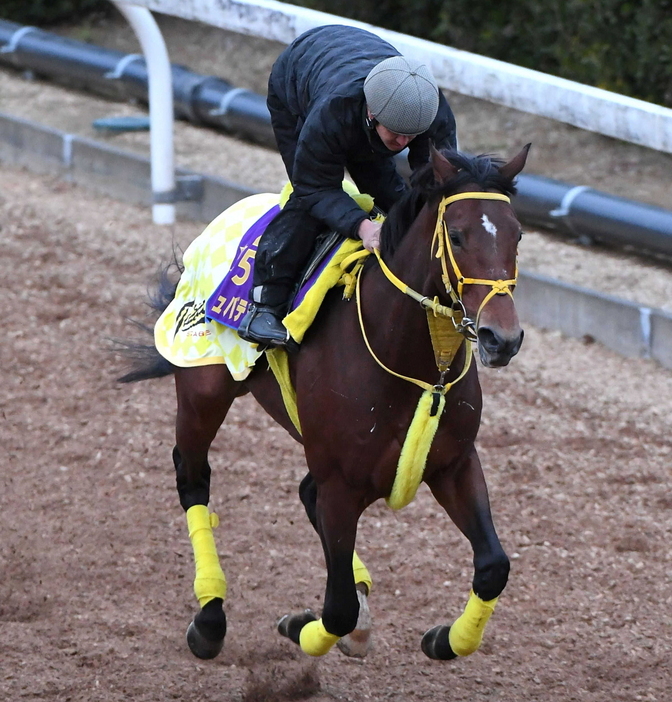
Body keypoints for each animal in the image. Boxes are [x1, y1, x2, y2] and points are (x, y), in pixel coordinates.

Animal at [119, 144, 532, 664]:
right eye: (456, 236)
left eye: (517, 234)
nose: (503, 338)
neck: (414, 361)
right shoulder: (341, 484)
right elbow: (337, 609)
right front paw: (302, 626)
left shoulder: (453, 464)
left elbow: (493, 565)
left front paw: (443, 638)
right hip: (203, 389)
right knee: (193, 480)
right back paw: (210, 619)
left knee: (304, 492)